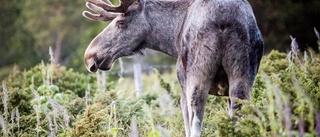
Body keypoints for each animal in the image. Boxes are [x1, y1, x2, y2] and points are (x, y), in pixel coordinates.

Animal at [82, 0, 262, 135]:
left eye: (120, 22)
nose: (89, 56)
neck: (172, 38)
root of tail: (225, 19)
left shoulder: (182, 87)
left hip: (196, 79)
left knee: (196, 126)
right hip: (242, 80)